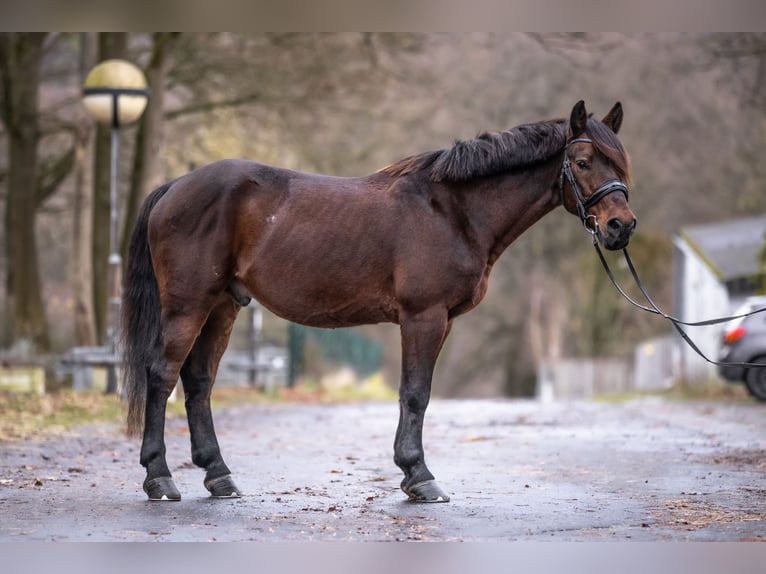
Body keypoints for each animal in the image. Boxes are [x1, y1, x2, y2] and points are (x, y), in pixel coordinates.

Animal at [121, 100, 636, 504]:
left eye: (622, 163)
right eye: (583, 160)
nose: (621, 227)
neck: (453, 211)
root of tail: (175, 186)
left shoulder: (443, 321)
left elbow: (417, 394)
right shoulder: (423, 317)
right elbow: (415, 393)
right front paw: (420, 477)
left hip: (223, 306)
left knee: (199, 381)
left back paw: (219, 475)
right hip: (188, 305)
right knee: (162, 375)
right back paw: (159, 479)